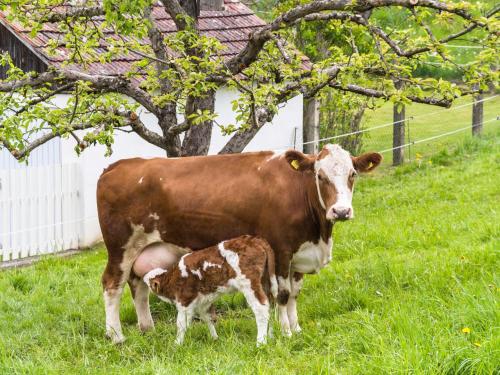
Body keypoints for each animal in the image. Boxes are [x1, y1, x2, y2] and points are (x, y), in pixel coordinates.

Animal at [143, 236, 280, 348]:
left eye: (150, 281)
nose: (143, 277)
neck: (172, 279)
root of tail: (256, 240)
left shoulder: (184, 300)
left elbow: (181, 324)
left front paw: (177, 344)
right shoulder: (203, 301)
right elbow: (208, 318)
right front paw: (215, 338)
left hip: (249, 282)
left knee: (261, 308)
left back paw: (261, 342)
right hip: (265, 281)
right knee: (270, 306)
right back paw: (270, 337)